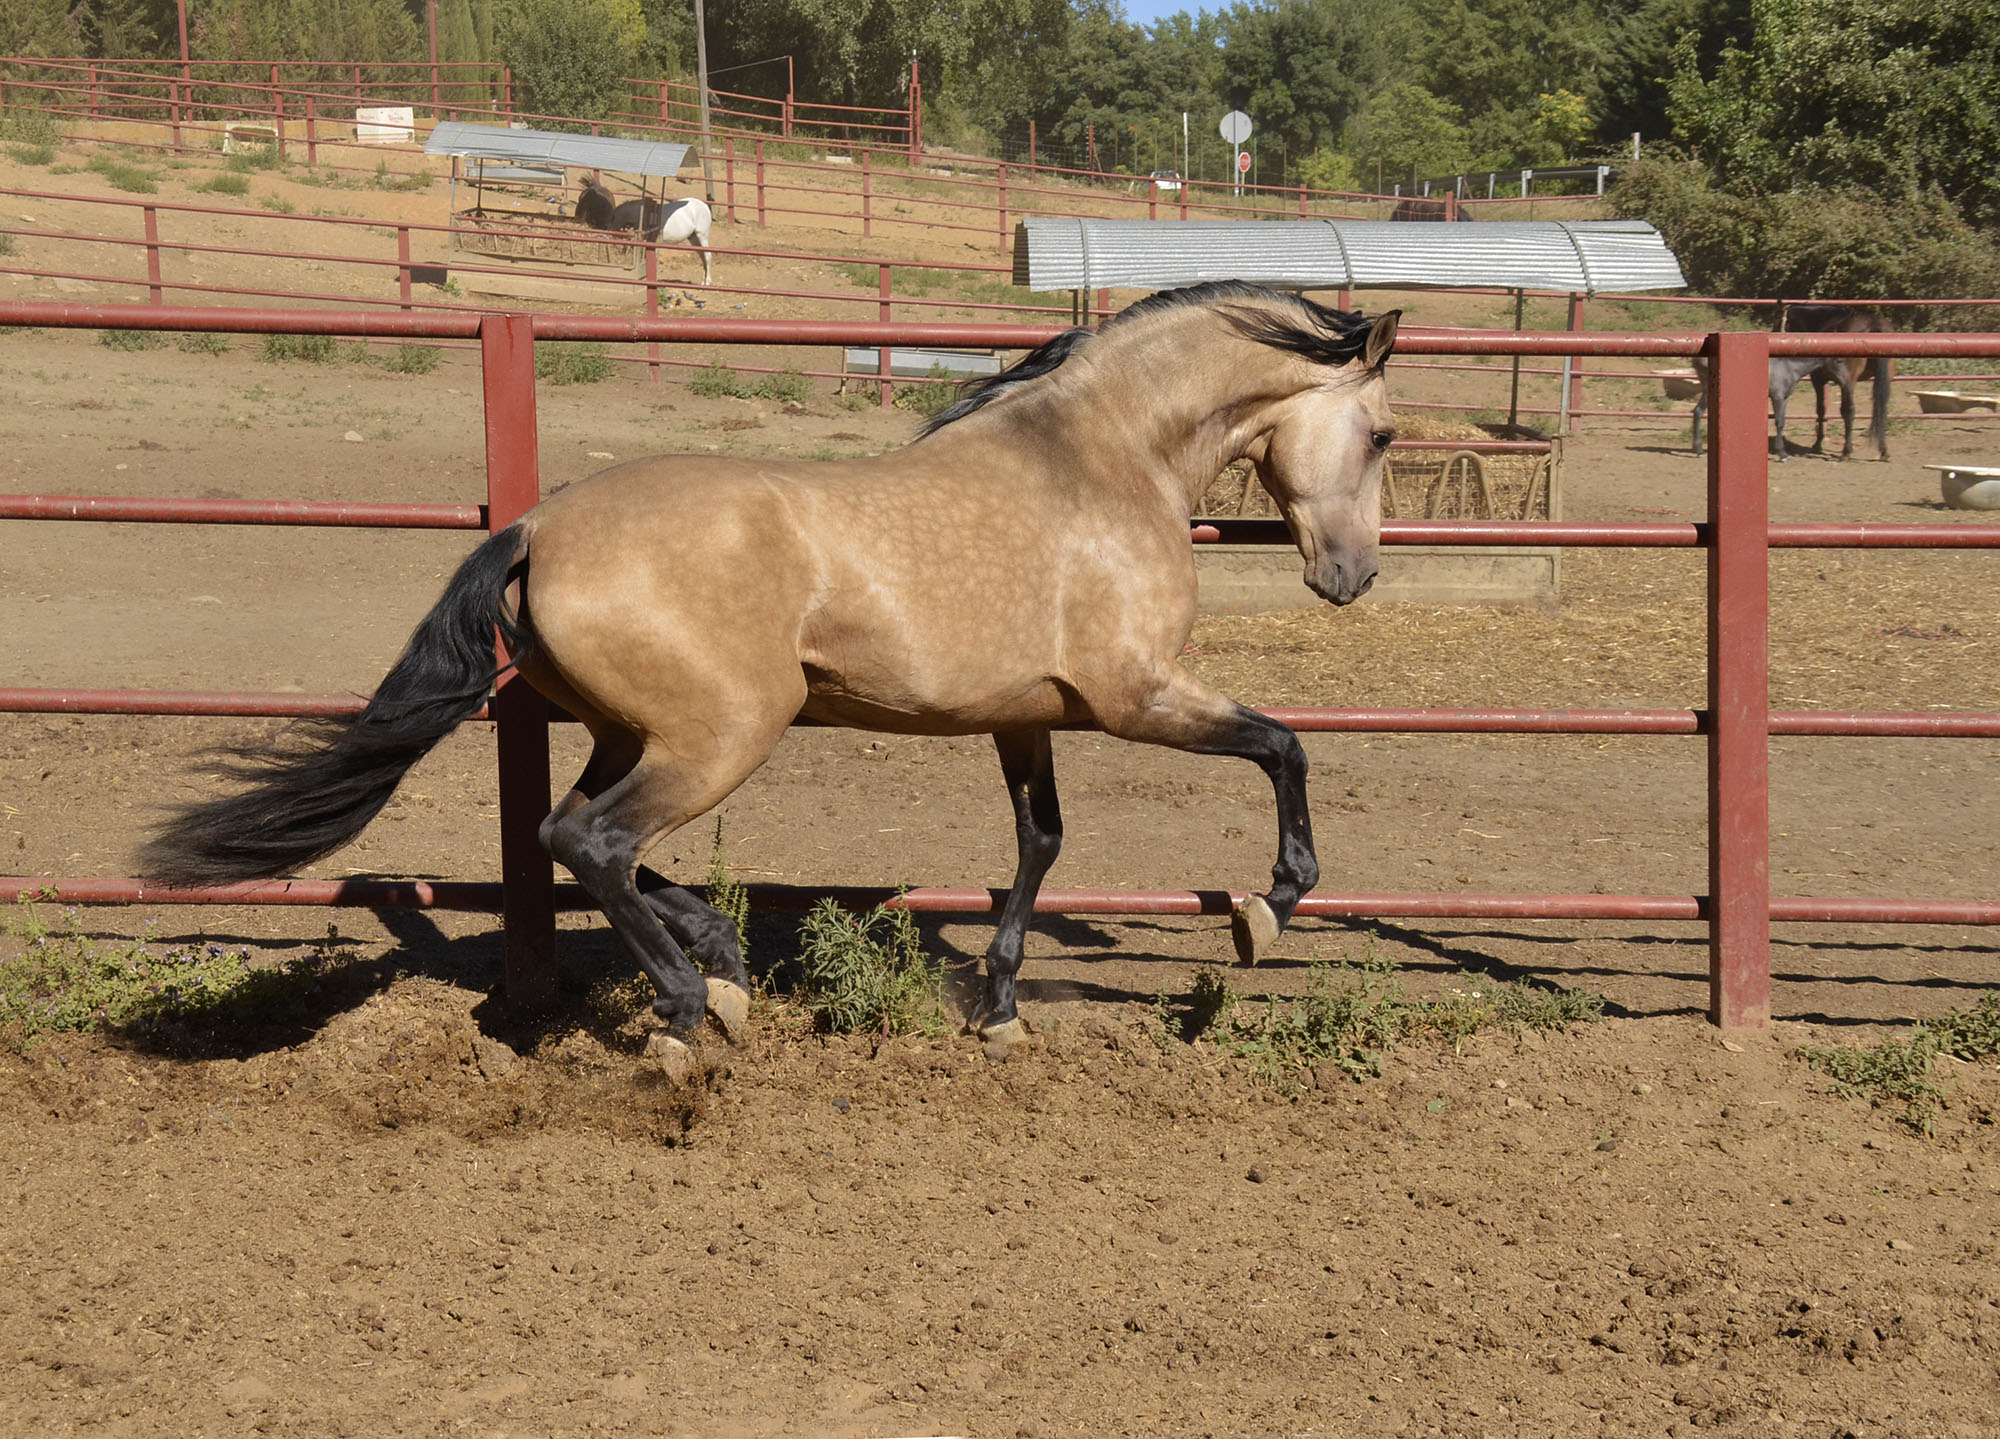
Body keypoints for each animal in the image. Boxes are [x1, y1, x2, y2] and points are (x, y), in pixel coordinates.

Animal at [141, 281, 1400, 1047]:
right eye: (1384, 433)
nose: (1351, 576)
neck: (1097, 459)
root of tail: (534, 529)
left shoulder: (1023, 715)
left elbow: (1039, 842)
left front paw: (997, 1004)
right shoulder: (1132, 695)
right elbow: (1283, 745)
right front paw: (1266, 909)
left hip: (638, 732)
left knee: (569, 833)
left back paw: (718, 959)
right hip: (725, 733)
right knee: (590, 840)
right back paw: (692, 1006)